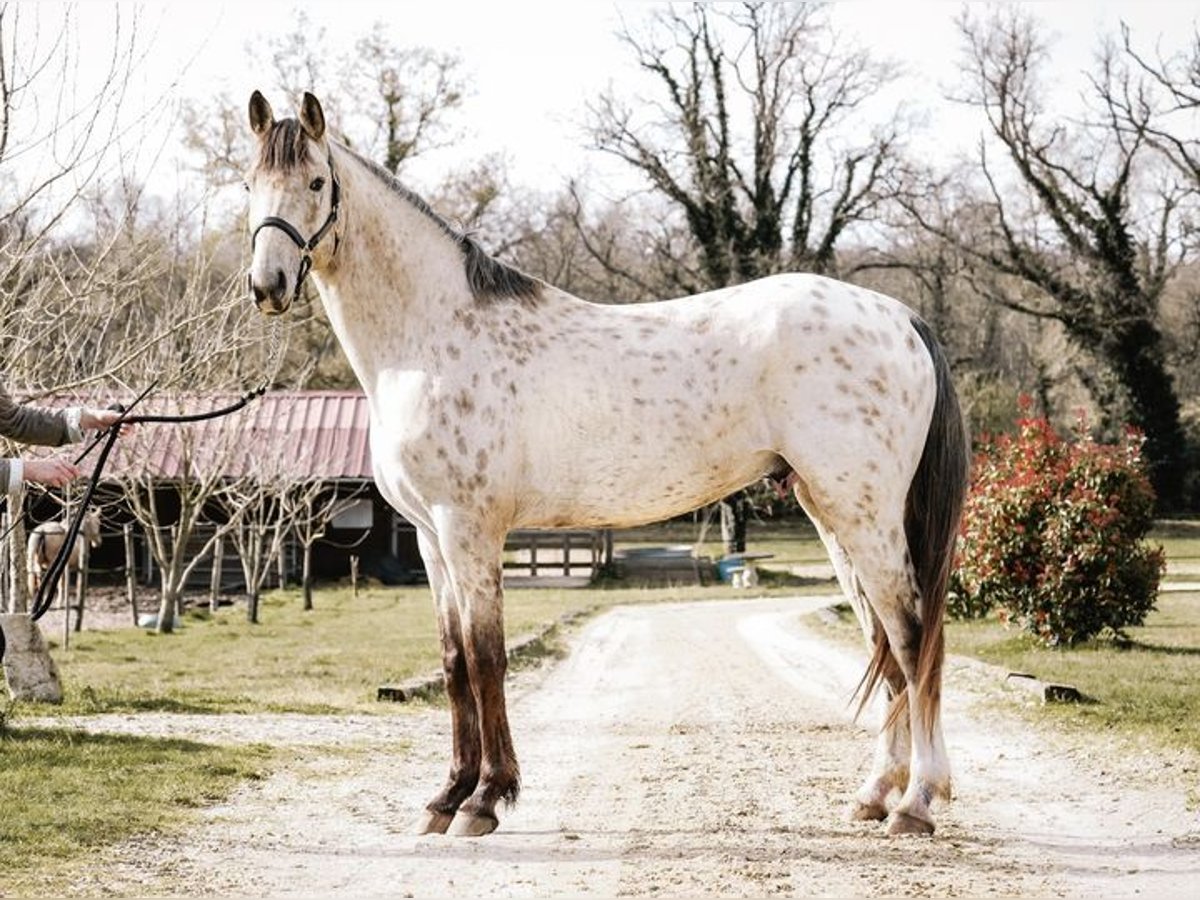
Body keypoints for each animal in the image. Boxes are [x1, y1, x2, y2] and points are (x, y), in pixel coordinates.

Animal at [241, 91, 964, 840]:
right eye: (249, 184)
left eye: (316, 183)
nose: (267, 285)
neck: (431, 340)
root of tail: (900, 316)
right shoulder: (429, 537)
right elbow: (453, 661)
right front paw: (446, 797)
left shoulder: (471, 531)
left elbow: (487, 658)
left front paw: (484, 800)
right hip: (831, 514)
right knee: (884, 643)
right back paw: (875, 794)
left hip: (866, 517)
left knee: (913, 637)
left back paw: (915, 804)